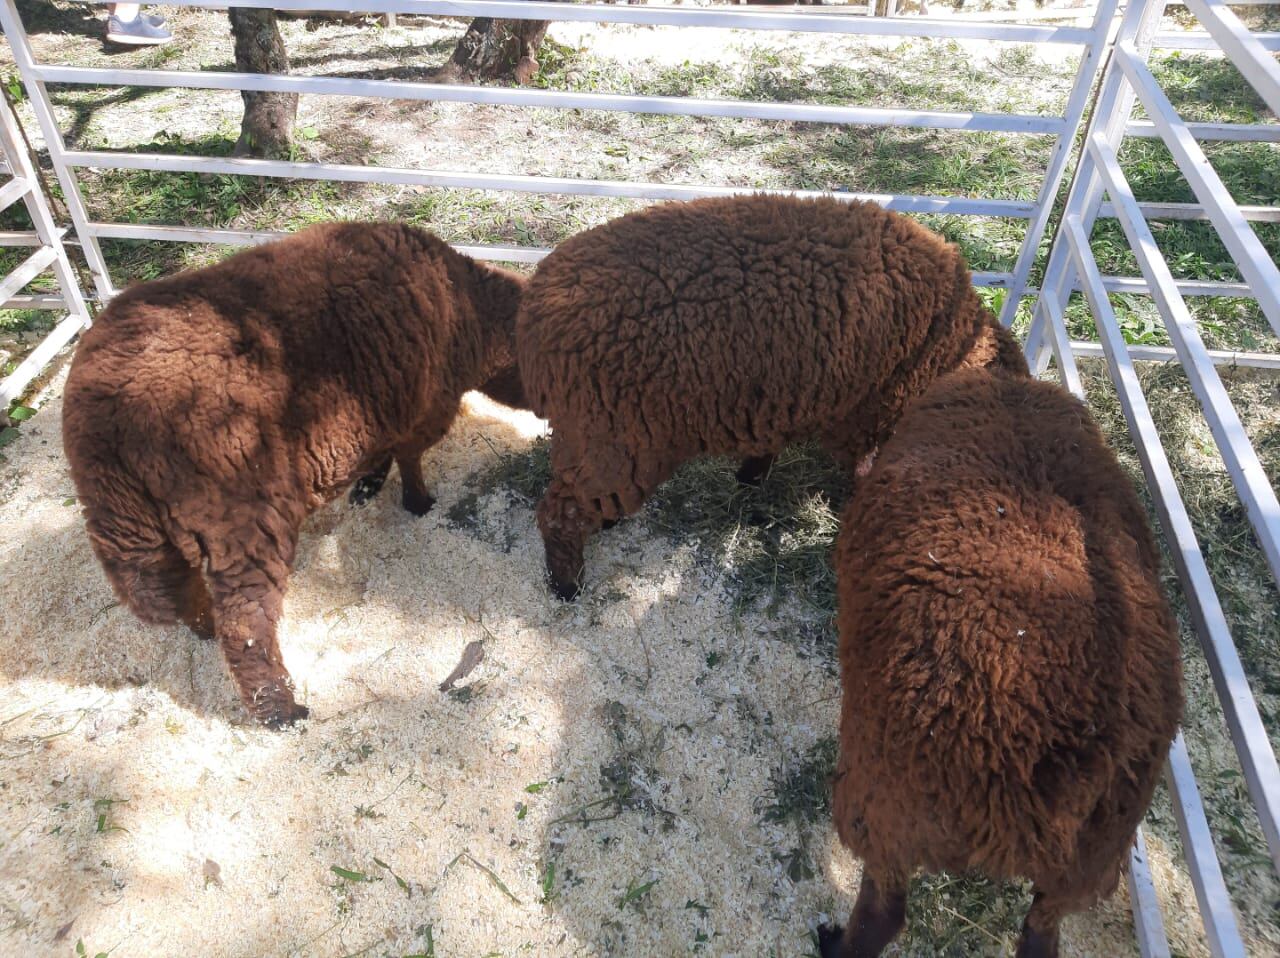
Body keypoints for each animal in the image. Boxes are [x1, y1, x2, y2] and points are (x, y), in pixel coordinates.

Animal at [63, 220, 524, 727]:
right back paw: (282, 711)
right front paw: (418, 504)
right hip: (242, 524)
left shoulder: (380, 414)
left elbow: (381, 457)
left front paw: (367, 488)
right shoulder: (422, 411)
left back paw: (205, 634)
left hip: (147, 535)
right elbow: (409, 461)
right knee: (245, 627)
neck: (468, 308)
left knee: (180, 593)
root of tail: (101, 425)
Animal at [514, 194, 1024, 599]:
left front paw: (750, 477)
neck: (947, 344)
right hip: (617, 436)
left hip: (600, 435)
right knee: (559, 513)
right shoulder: (864, 415)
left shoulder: (782, 395)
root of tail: (538, 311)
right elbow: (861, 467)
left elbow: (768, 444)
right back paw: (567, 586)